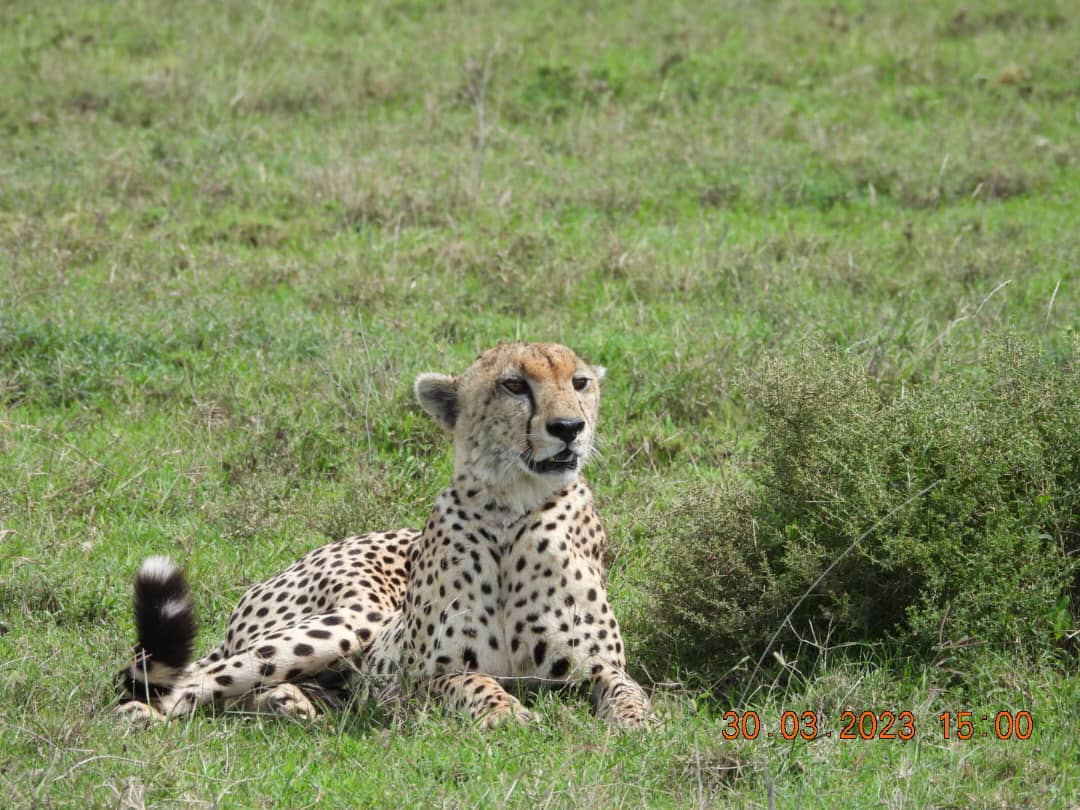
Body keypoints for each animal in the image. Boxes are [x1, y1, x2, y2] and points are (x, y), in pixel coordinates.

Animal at [121, 341, 652, 730]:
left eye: (579, 382)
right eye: (515, 385)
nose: (569, 427)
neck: (510, 507)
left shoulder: (599, 667)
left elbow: (627, 689)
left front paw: (637, 721)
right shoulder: (411, 681)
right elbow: (471, 683)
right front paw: (504, 713)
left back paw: (288, 703)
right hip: (349, 622)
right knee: (186, 680)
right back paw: (144, 716)